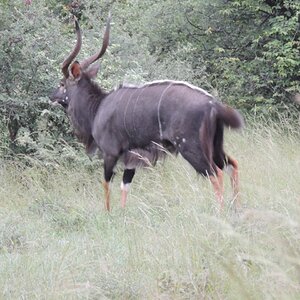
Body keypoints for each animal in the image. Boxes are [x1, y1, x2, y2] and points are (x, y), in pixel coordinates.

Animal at [49, 14, 244, 211]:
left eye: (62, 84)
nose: (52, 97)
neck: (97, 107)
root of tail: (213, 104)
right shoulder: (132, 157)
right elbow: (125, 185)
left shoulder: (110, 153)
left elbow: (106, 184)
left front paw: (108, 213)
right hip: (214, 146)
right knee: (232, 165)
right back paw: (236, 208)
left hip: (191, 147)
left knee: (216, 173)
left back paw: (221, 211)